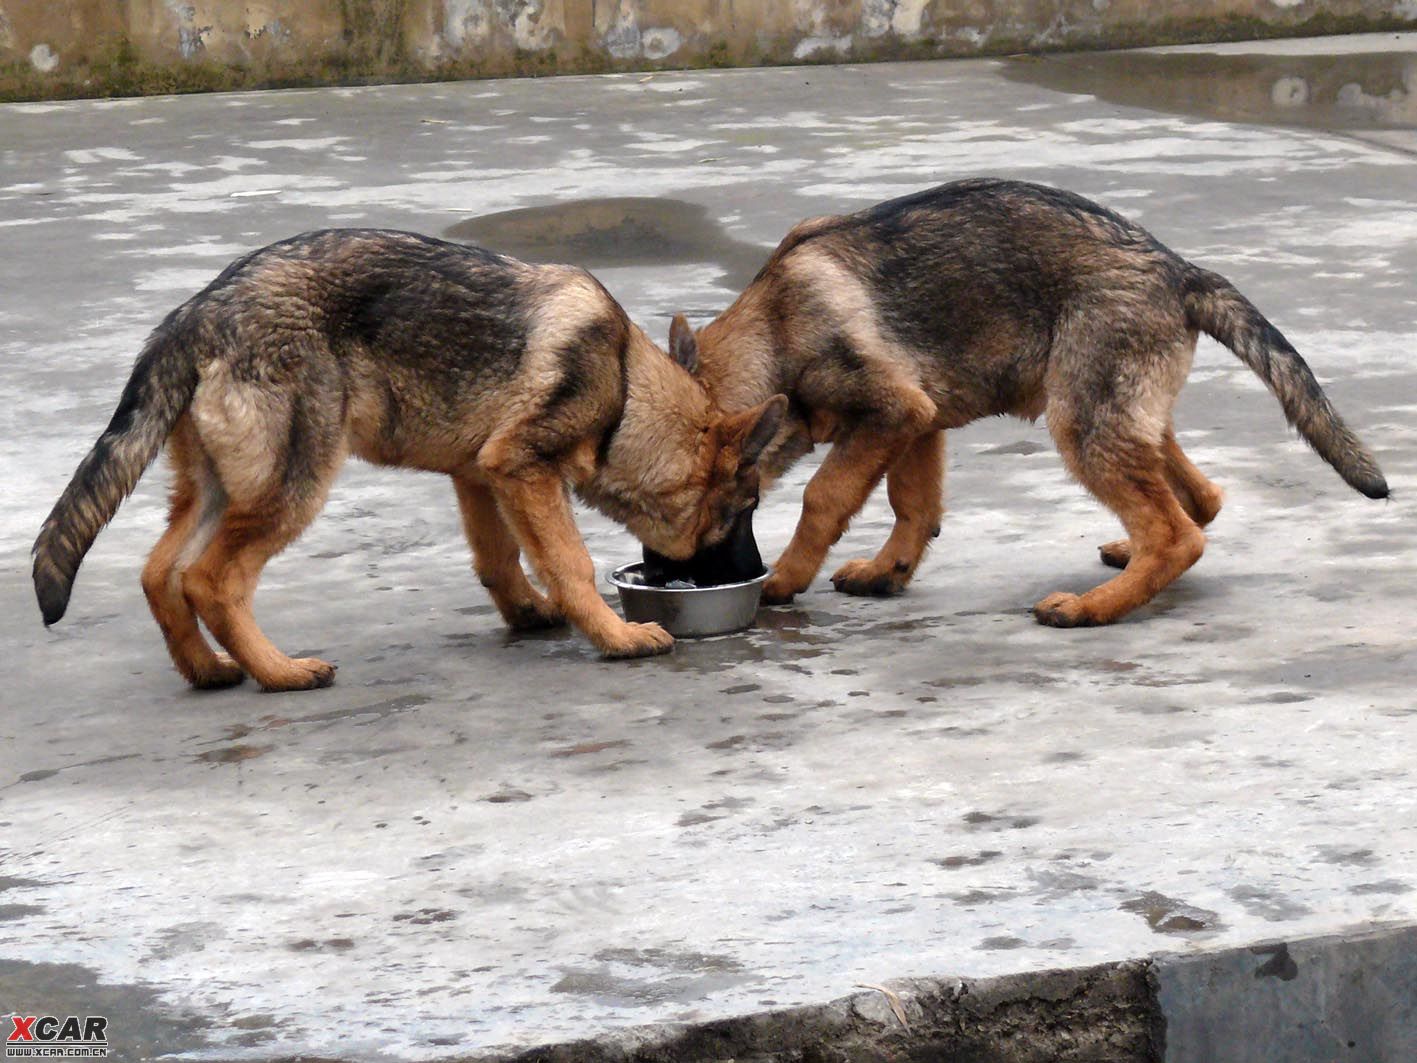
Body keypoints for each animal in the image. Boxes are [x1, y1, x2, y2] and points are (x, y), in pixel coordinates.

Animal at [33, 231, 787, 691]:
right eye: (747, 509)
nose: (761, 579)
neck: (626, 388)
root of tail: (193, 314)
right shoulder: (521, 466)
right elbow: (569, 563)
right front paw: (615, 636)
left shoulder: (481, 475)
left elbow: (500, 560)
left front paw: (529, 613)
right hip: (292, 487)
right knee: (209, 580)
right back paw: (280, 672)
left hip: (221, 489)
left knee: (159, 572)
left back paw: (208, 670)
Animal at [668, 175, 1388, 623]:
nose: (682, 577)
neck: (775, 327)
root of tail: (1176, 270)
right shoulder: (919, 423)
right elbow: (913, 505)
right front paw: (888, 570)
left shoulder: (893, 414)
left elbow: (823, 496)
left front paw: (786, 577)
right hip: (1116, 414)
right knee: (1199, 498)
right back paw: (1126, 557)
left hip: (1080, 424)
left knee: (1176, 535)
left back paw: (1093, 607)